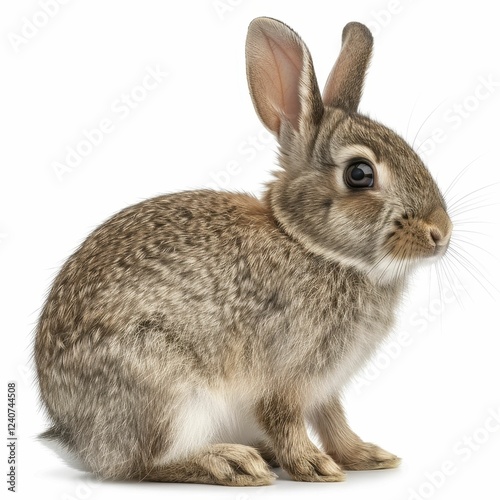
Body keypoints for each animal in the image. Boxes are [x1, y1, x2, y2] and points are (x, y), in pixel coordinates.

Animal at [33, 17, 452, 486]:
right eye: (359, 174)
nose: (440, 233)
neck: (310, 245)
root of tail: (77, 439)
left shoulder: (326, 385)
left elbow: (332, 418)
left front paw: (365, 455)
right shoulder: (286, 372)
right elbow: (285, 416)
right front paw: (313, 465)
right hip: (167, 390)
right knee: (145, 463)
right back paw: (231, 462)